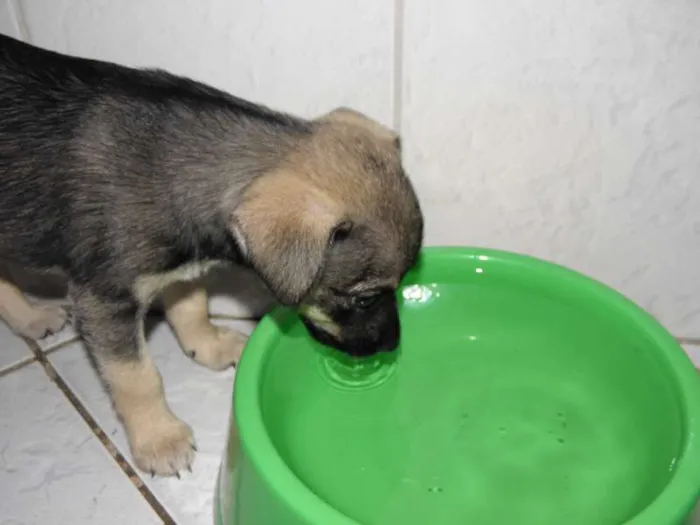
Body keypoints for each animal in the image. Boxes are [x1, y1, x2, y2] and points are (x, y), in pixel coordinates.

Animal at [0, 32, 424, 474]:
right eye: (364, 298)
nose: (392, 346)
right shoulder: (104, 302)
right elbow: (138, 377)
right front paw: (160, 439)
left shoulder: (182, 268)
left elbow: (191, 307)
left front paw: (209, 346)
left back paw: (30, 317)